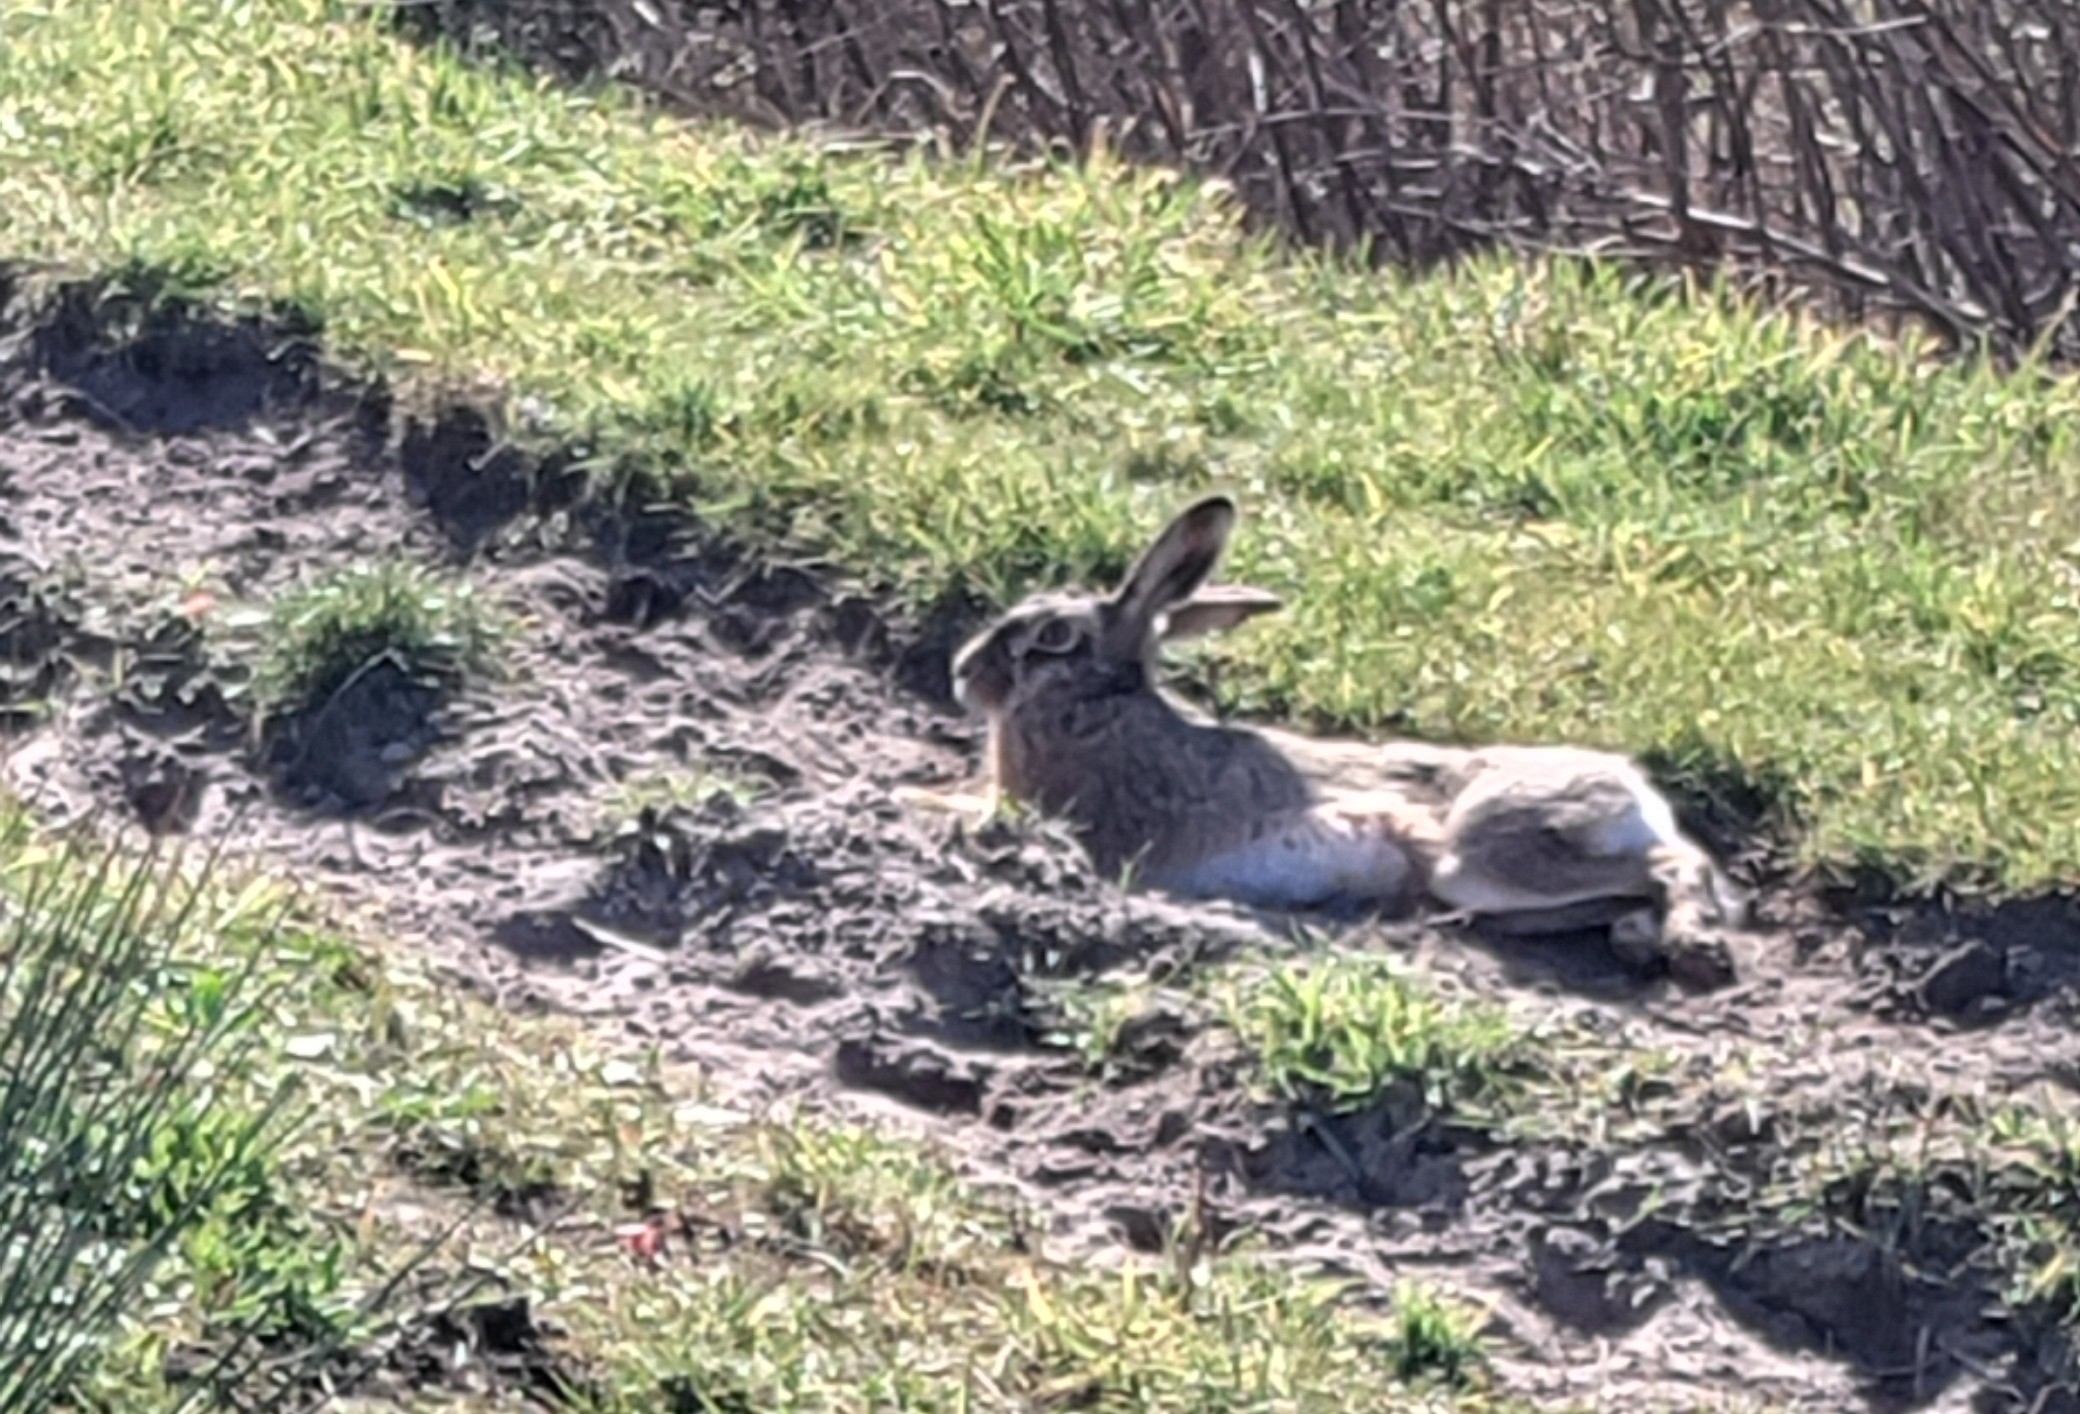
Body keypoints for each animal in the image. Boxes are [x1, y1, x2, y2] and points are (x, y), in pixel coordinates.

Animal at [926, 493, 1748, 987]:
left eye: (1053, 638)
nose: (962, 673)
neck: (1099, 699)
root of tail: (1631, 785)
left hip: (1484, 850)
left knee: (1672, 864)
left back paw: (1690, 946)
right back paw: (1640, 939)